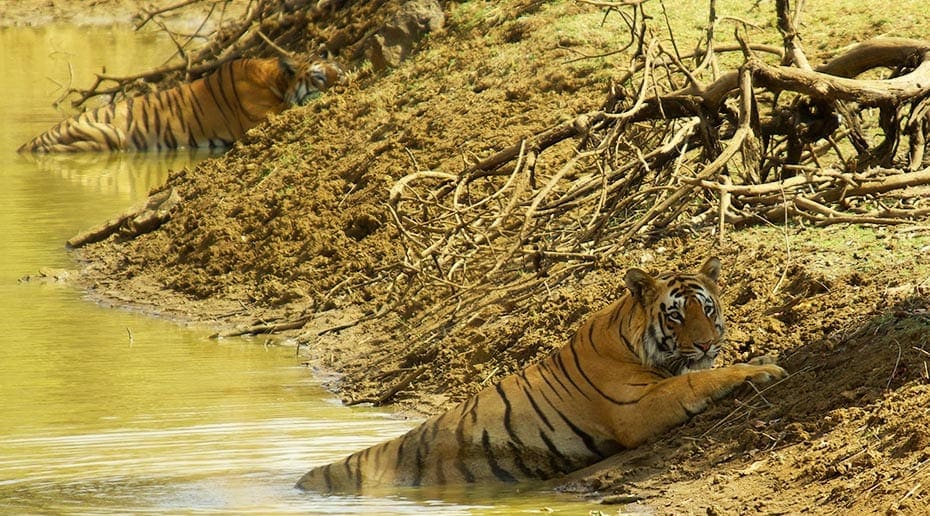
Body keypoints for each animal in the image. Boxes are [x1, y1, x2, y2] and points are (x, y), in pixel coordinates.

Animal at [17, 57, 344, 153]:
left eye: (337, 69)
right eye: (318, 77)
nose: (343, 78)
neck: (273, 79)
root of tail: (27, 144)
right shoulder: (261, 116)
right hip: (111, 135)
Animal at [296, 258, 784, 492]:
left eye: (708, 309)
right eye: (676, 316)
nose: (704, 344)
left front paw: (761, 356)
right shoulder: (636, 407)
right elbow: (695, 380)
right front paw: (763, 368)